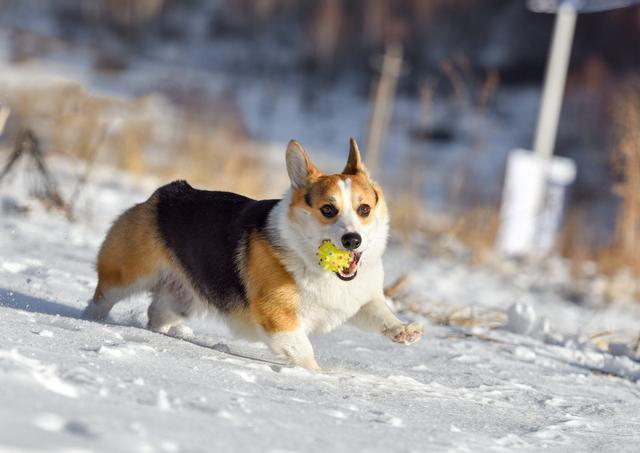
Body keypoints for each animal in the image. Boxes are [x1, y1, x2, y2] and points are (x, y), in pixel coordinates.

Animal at [82, 138, 422, 368]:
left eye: (364, 209)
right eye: (328, 209)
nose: (353, 240)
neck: (311, 260)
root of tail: (164, 194)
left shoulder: (359, 299)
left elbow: (380, 314)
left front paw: (404, 331)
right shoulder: (280, 320)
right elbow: (304, 353)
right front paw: (322, 378)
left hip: (181, 300)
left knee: (157, 313)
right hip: (124, 276)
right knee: (100, 300)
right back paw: (89, 322)